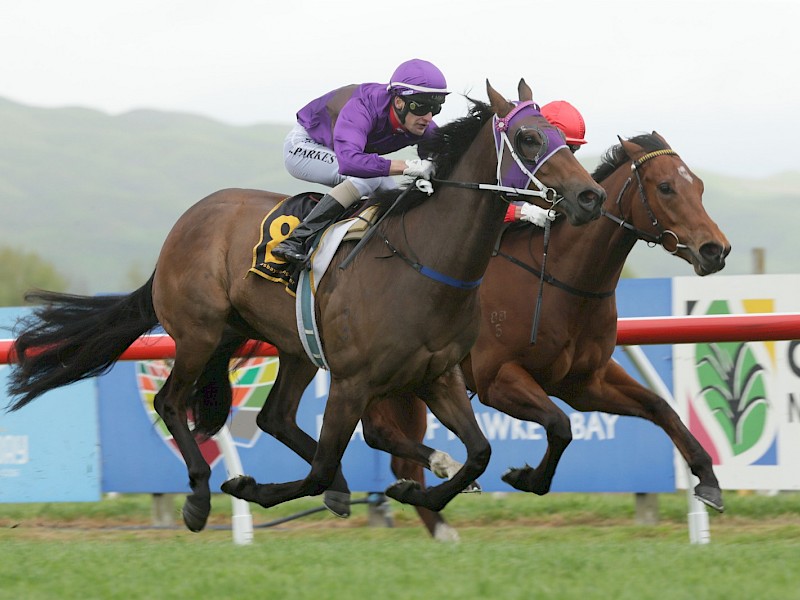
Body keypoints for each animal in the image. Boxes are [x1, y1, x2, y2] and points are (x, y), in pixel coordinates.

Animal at [6, 78, 608, 528]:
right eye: (528, 137)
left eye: (560, 135)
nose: (590, 196)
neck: (428, 265)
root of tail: (185, 223)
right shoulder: (353, 381)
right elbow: (319, 467)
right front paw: (248, 486)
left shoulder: (438, 375)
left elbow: (481, 451)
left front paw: (427, 490)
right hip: (199, 334)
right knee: (171, 403)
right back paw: (199, 496)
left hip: (291, 345)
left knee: (274, 417)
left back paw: (352, 485)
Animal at [360, 131, 732, 540]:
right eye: (665, 187)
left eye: (698, 185)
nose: (715, 250)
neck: (561, 279)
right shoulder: (497, 379)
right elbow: (560, 426)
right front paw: (524, 477)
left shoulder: (584, 383)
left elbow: (659, 406)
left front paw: (708, 480)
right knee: (379, 434)